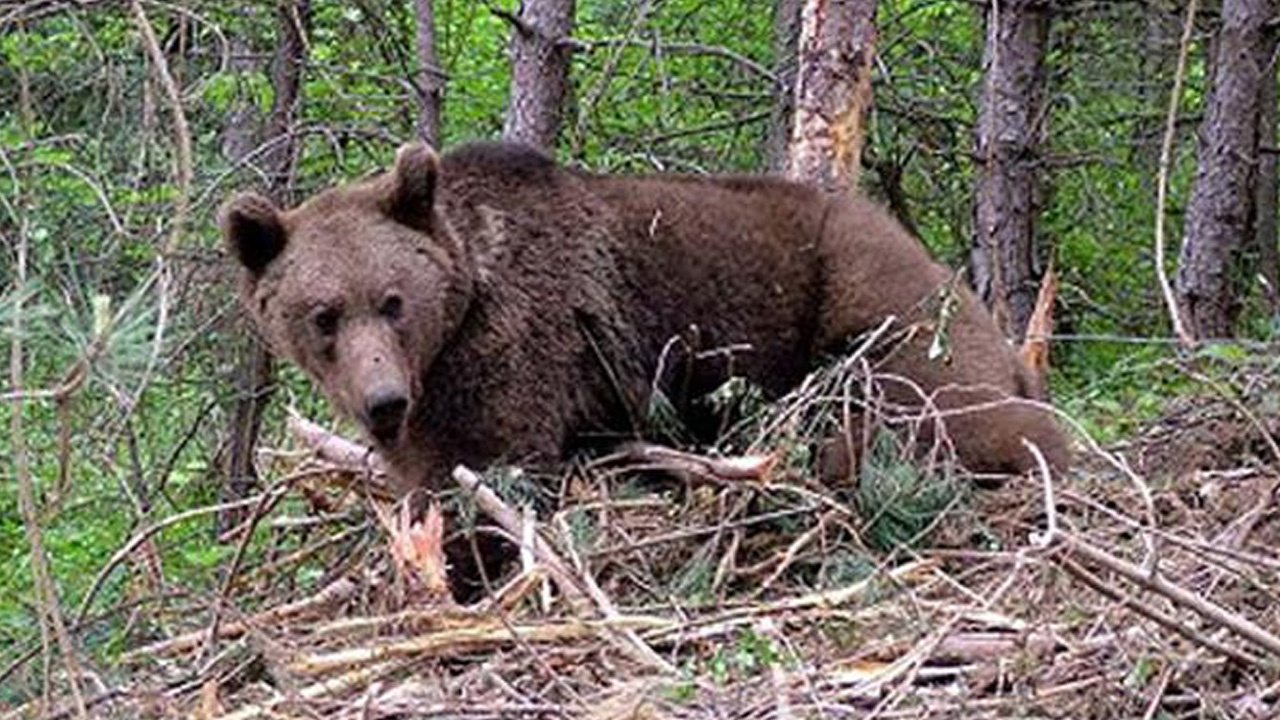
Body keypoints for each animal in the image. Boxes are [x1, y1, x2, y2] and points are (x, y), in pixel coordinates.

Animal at [222, 140, 1070, 489]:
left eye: (393, 301)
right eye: (323, 315)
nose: (383, 401)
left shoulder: (521, 342)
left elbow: (492, 464)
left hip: (878, 311)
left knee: (917, 416)